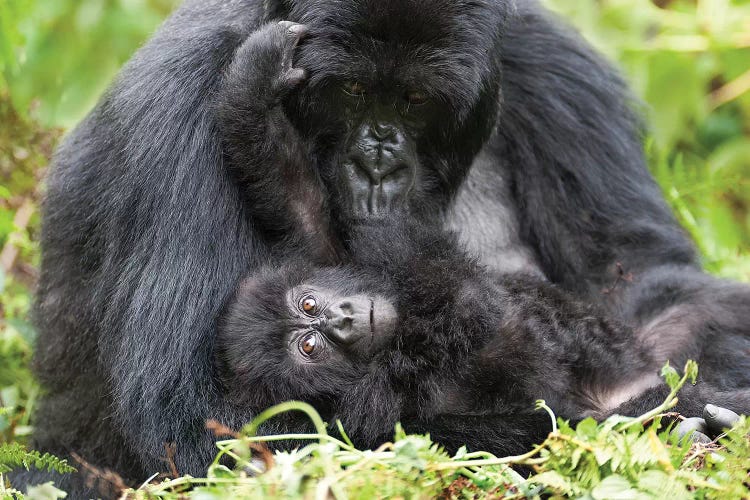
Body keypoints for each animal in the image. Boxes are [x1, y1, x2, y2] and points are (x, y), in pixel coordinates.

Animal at [17, 0, 750, 494]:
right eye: (352, 90)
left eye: (417, 100)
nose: (376, 162)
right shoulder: (183, 84)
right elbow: (205, 430)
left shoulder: (549, 62)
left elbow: (636, 278)